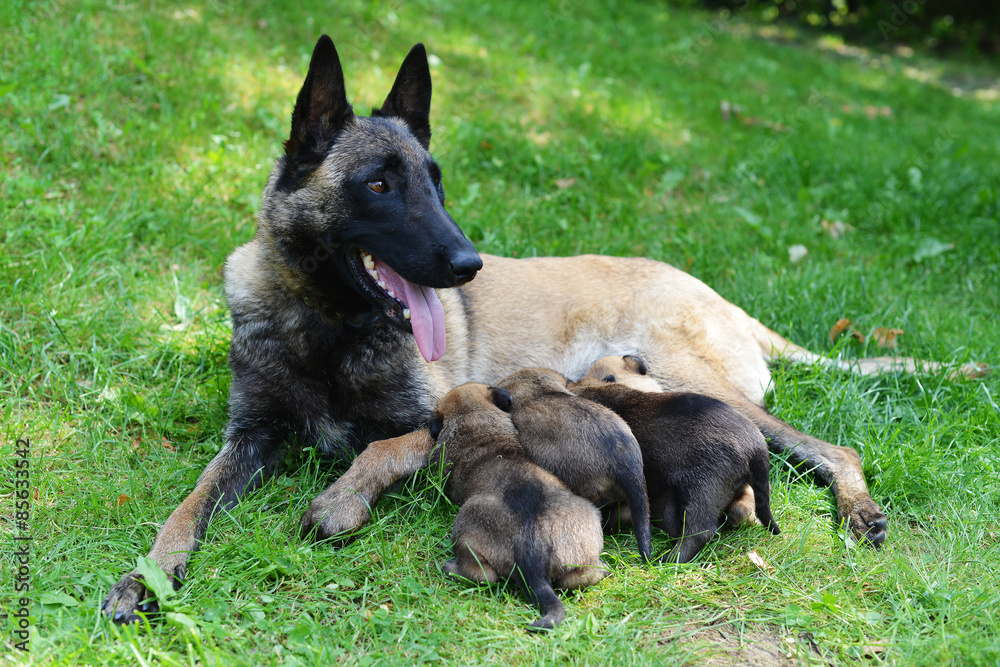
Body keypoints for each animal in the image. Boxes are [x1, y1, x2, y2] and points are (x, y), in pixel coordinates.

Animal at [426, 384, 604, 628]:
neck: (472, 416)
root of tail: (532, 553)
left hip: (465, 526)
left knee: (484, 576)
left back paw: (451, 568)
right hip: (585, 530)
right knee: (578, 579)